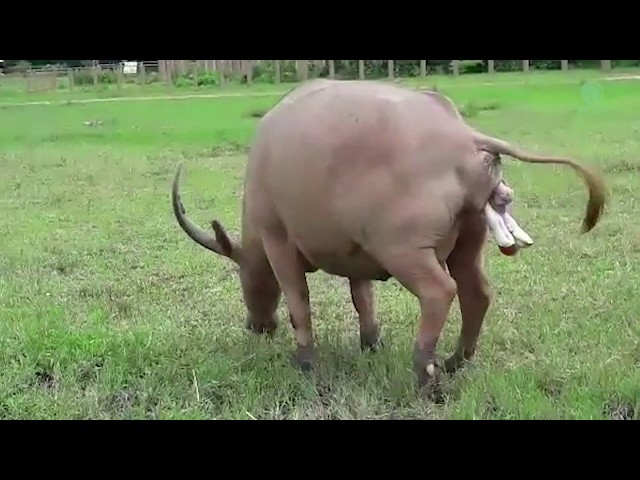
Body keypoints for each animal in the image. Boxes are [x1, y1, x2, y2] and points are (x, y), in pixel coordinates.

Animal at [170, 79, 604, 398]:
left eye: (245, 278)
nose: (256, 327)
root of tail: (462, 138)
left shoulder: (279, 245)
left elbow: (299, 304)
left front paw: (306, 362)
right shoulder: (355, 254)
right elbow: (363, 298)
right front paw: (370, 342)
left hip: (404, 250)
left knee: (439, 291)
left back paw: (427, 376)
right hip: (468, 239)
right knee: (476, 292)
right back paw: (455, 361)